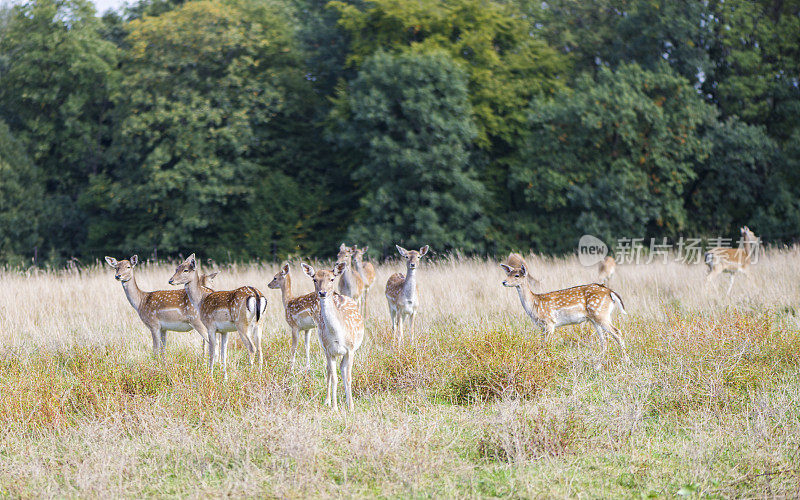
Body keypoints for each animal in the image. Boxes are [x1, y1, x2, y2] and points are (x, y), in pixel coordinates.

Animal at [300, 262, 366, 410]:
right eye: (314, 279)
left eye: (332, 279)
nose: (322, 292)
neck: (338, 336)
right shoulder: (329, 350)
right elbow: (334, 377)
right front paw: (334, 407)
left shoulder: (350, 349)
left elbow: (348, 376)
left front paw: (351, 406)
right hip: (324, 348)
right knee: (330, 370)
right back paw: (327, 400)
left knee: (342, 369)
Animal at [496, 260, 628, 370]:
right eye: (508, 273)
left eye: (517, 275)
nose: (504, 282)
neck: (535, 305)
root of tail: (610, 292)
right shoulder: (542, 327)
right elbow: (542, 344)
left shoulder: (549, 322)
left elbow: (546, 345)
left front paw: (546, 363)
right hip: (595, 318)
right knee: (604, 339)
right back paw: (598, 365)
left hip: (600, 314)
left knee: (617, 332)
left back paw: (626, 362)